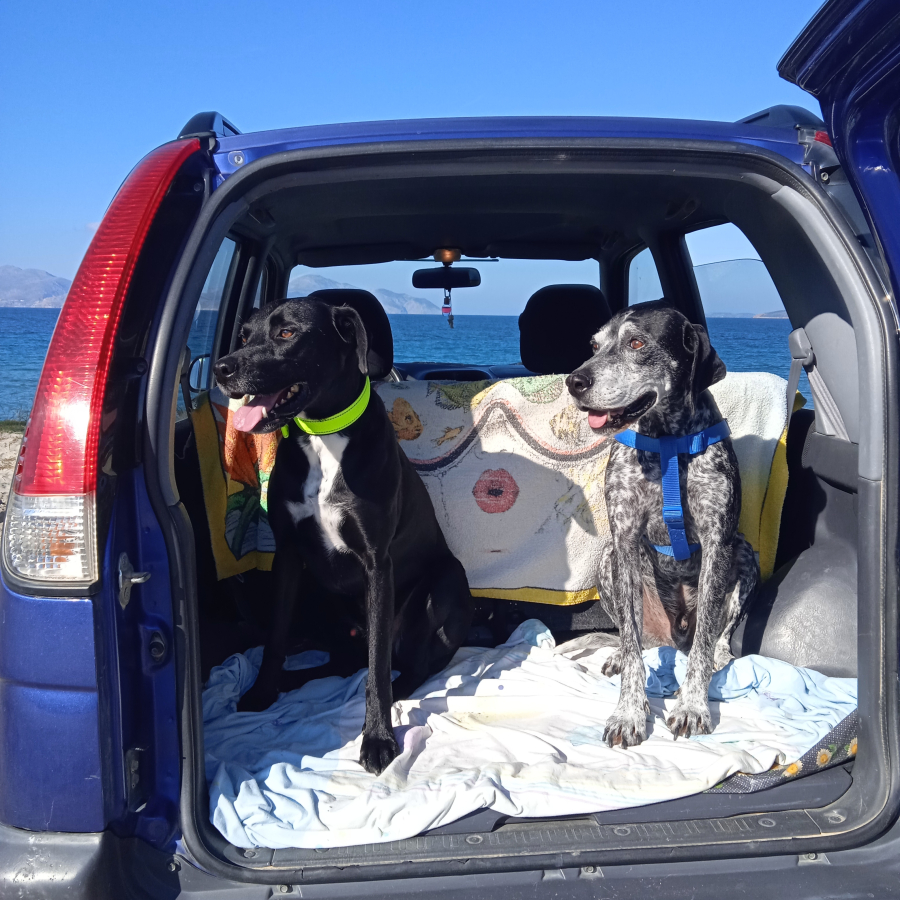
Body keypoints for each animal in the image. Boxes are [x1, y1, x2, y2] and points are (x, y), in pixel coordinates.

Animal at [213, 297, 473, 774]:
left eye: (286, 333)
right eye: (244, 335)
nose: (223, 368)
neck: (323, 436)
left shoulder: (377, 564)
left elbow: (376, 670)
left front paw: (378, 739)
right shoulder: (288, 557)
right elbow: (275, 638)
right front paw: (262, 690)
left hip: (447, 580)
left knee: (415, 661)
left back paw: (403, 684)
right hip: (320, 598)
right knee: (343, 661)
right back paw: (293, 680)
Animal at [566, 300, 758, 748]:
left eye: (637, 343)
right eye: (595, 345)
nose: (573, 381)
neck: (668, 442)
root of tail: (672, 637)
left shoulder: (719, 542)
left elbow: (703, 644)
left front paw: (692, 705)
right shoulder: (623, 537)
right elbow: (634, 650)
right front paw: (628, 713)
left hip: (744, 553)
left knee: (714, 635)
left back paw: (722, 655)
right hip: (608, 561)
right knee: (630, 633)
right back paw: (619, 654)